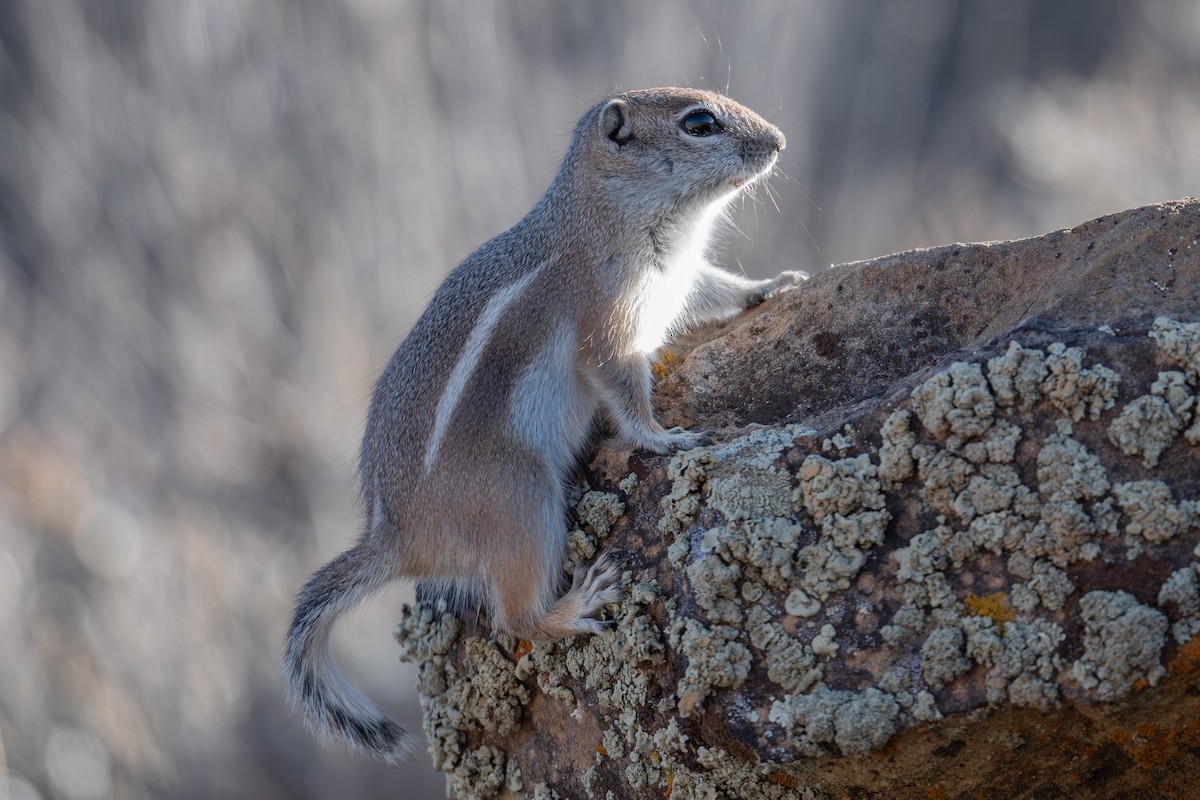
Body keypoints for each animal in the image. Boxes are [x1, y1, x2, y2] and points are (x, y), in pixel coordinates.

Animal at [284, 87, 808, 764]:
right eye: (699, 123)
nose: (780, 142)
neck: (604, 212)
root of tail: (393, 539)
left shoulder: (682, 280)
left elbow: (718, 289)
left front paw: (774, 283)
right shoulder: (609, 319)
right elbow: (621, 385)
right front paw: (664, 437)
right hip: (522, 496)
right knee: (514, 620)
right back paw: (577, 603)